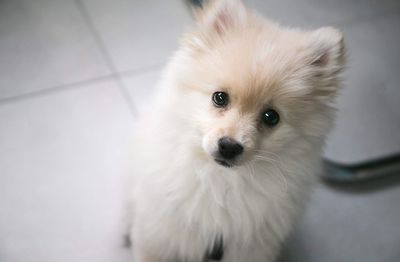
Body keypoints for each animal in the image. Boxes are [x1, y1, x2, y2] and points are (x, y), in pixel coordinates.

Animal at [127, 0, 344, 262]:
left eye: (271, 117)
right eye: (219, 97)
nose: (229, 147)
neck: (223, 182)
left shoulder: (251, 248)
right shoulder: (158, 237)